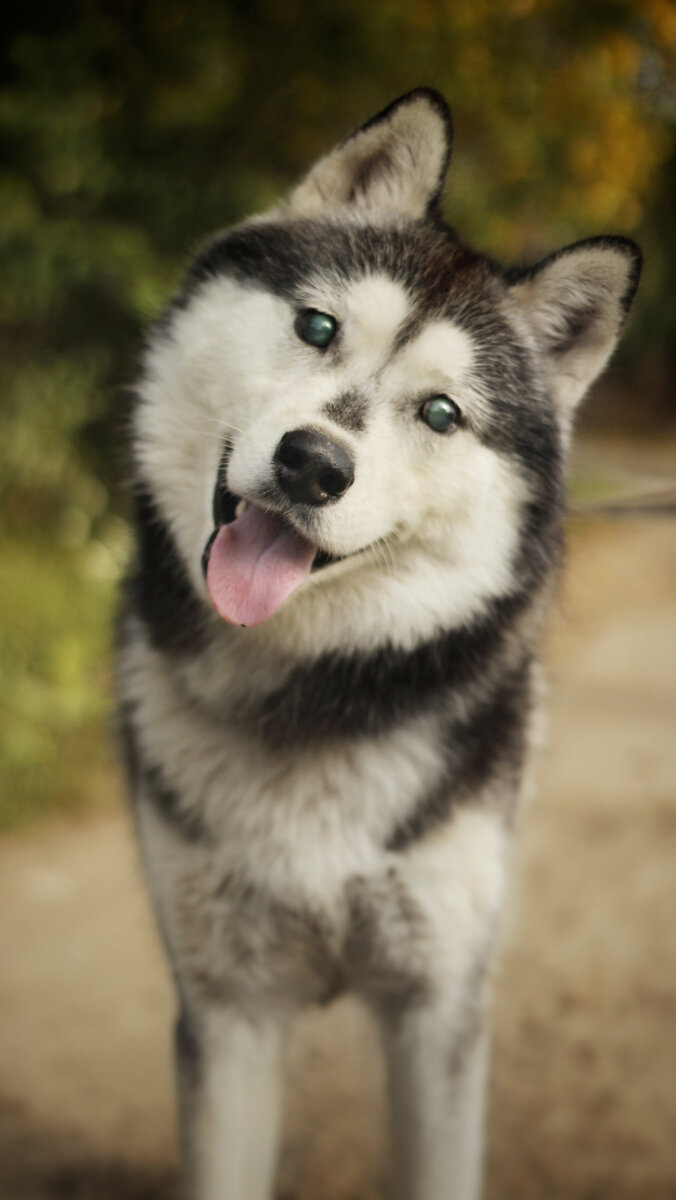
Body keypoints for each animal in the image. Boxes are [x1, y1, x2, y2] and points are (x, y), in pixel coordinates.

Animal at [116, 87, 638, 1200]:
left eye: (440, 412)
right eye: (317, 327)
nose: (313, 464)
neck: (307, 694)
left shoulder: (438, 1006)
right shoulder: (228, 1009)